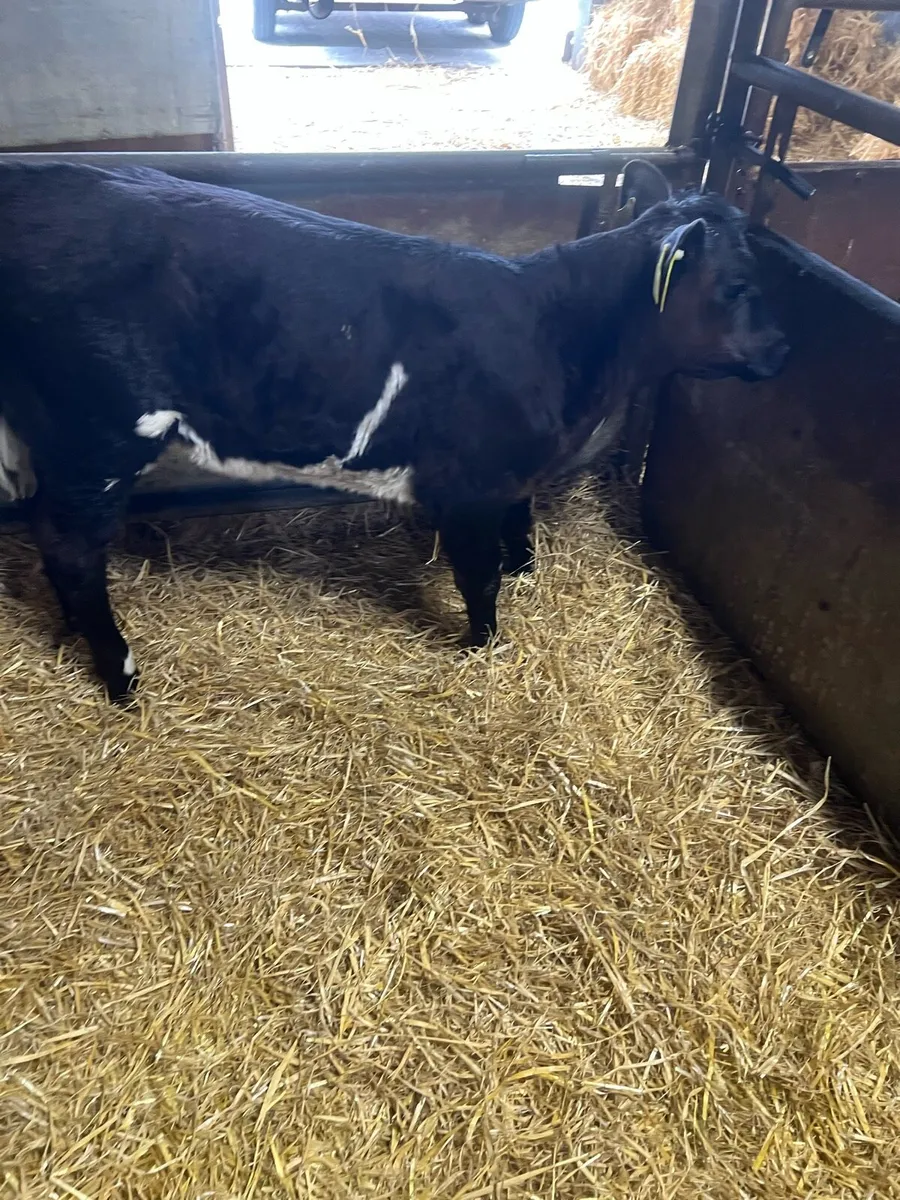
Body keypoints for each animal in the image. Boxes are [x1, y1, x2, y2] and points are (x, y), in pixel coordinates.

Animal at [0, 159, 787, 702]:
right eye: (737, 286)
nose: (782, 348)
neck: (555, 333)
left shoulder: (509, 476)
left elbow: (520, 528)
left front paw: (525, 571)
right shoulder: (468, 483)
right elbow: (478, 576)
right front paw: (484, 645)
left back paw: (72, 633)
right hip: (97, 433)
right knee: (71, 546)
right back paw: (121, 674)